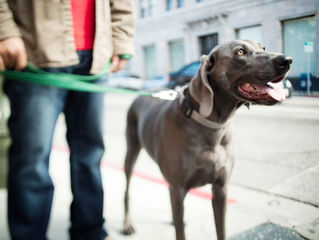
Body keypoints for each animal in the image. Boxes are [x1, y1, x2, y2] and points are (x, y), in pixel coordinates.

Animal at [122, 40, 292, 239]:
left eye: (262, 47)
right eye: (240, 51)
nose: (287, 60)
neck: (212, 127)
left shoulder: (221, 188)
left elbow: (221, 230)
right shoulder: (178, 188)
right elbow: (181, 232)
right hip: (131, 150)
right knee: (127, 190)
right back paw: (127, 225)